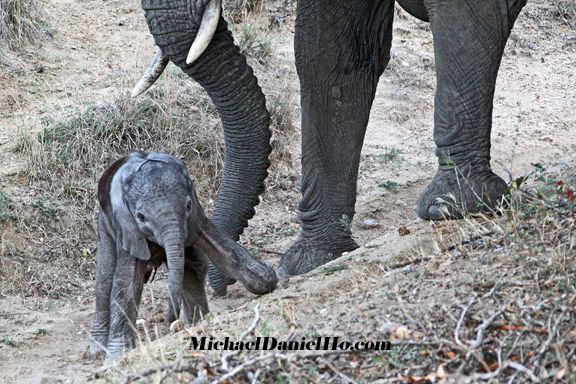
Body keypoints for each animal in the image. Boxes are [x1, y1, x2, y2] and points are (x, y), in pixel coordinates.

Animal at [91, 152, 278, 360]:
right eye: (141, 217)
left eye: (188, 206)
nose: (170, 319)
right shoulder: (128, 227)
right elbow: (127, 283)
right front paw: (116, 356)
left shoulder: (196, 216)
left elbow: (220, 249)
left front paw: (266, 280)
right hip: (104, 225)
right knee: (105, 281)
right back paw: (98, 350)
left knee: (192, 267)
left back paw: (196, 321)